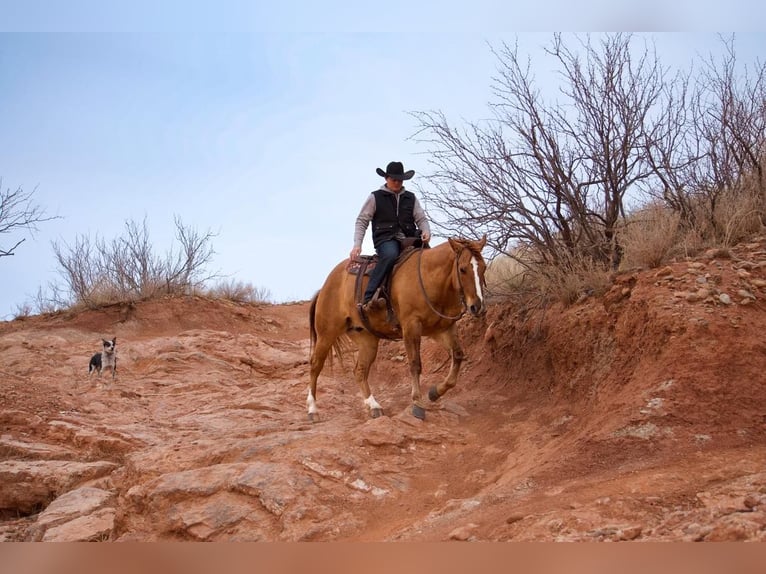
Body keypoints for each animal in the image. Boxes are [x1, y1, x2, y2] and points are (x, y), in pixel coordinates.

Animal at [306, 237, 486, 424]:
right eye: (462, 269)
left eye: (483, 268)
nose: (477, 306)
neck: (429, 279)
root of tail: (325, 286)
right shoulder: (411, 326)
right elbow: (415, 364)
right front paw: (417, 404)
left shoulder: (442, 329)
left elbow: (457, 355)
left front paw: (435, 393)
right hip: (326, 334)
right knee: (315, 365)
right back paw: (312, 410)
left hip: (367, 340)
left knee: (360, 371)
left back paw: (374, 406)